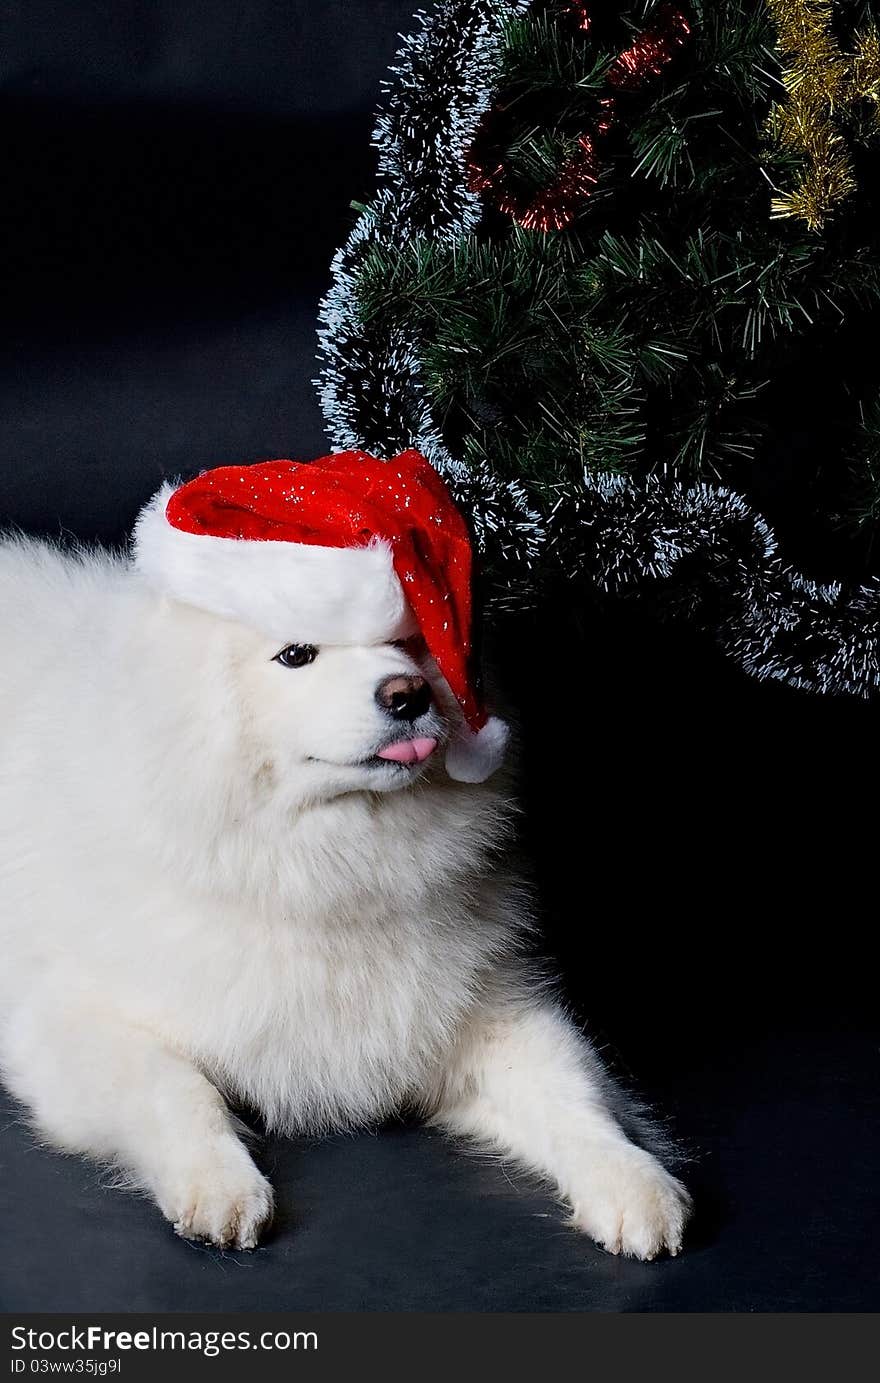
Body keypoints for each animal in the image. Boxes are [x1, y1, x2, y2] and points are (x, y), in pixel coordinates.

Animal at [0, 459, 686, 1261]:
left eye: (414, 646)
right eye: (297, 654)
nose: (408, 693)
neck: (319, 868)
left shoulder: (483, 1013)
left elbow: (576, 1097)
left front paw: (632, 1181)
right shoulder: (71, 1020)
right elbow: (178, 1090)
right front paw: (221, 1184)